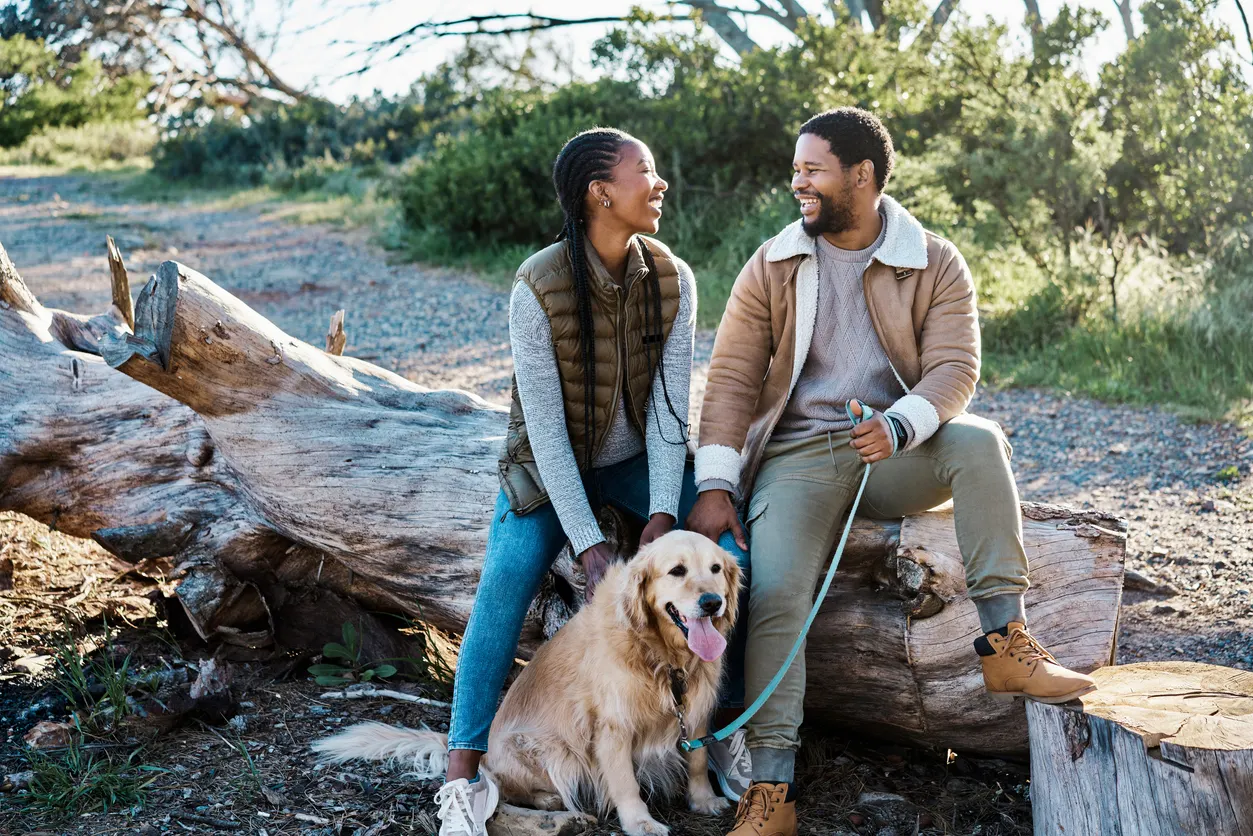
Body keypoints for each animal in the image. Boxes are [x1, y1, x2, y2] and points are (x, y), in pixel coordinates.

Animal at [313, 533, 741, 832]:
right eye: (677, 571)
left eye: (716, 569)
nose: (712, 603)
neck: (661, 656)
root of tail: (484, 749)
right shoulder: (612, 727)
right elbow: (624, 782)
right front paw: (640, 823)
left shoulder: (695, 712)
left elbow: (698, 759)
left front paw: (704, 800)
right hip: (550, 750)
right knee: (507, 787)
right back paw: (553, 805)